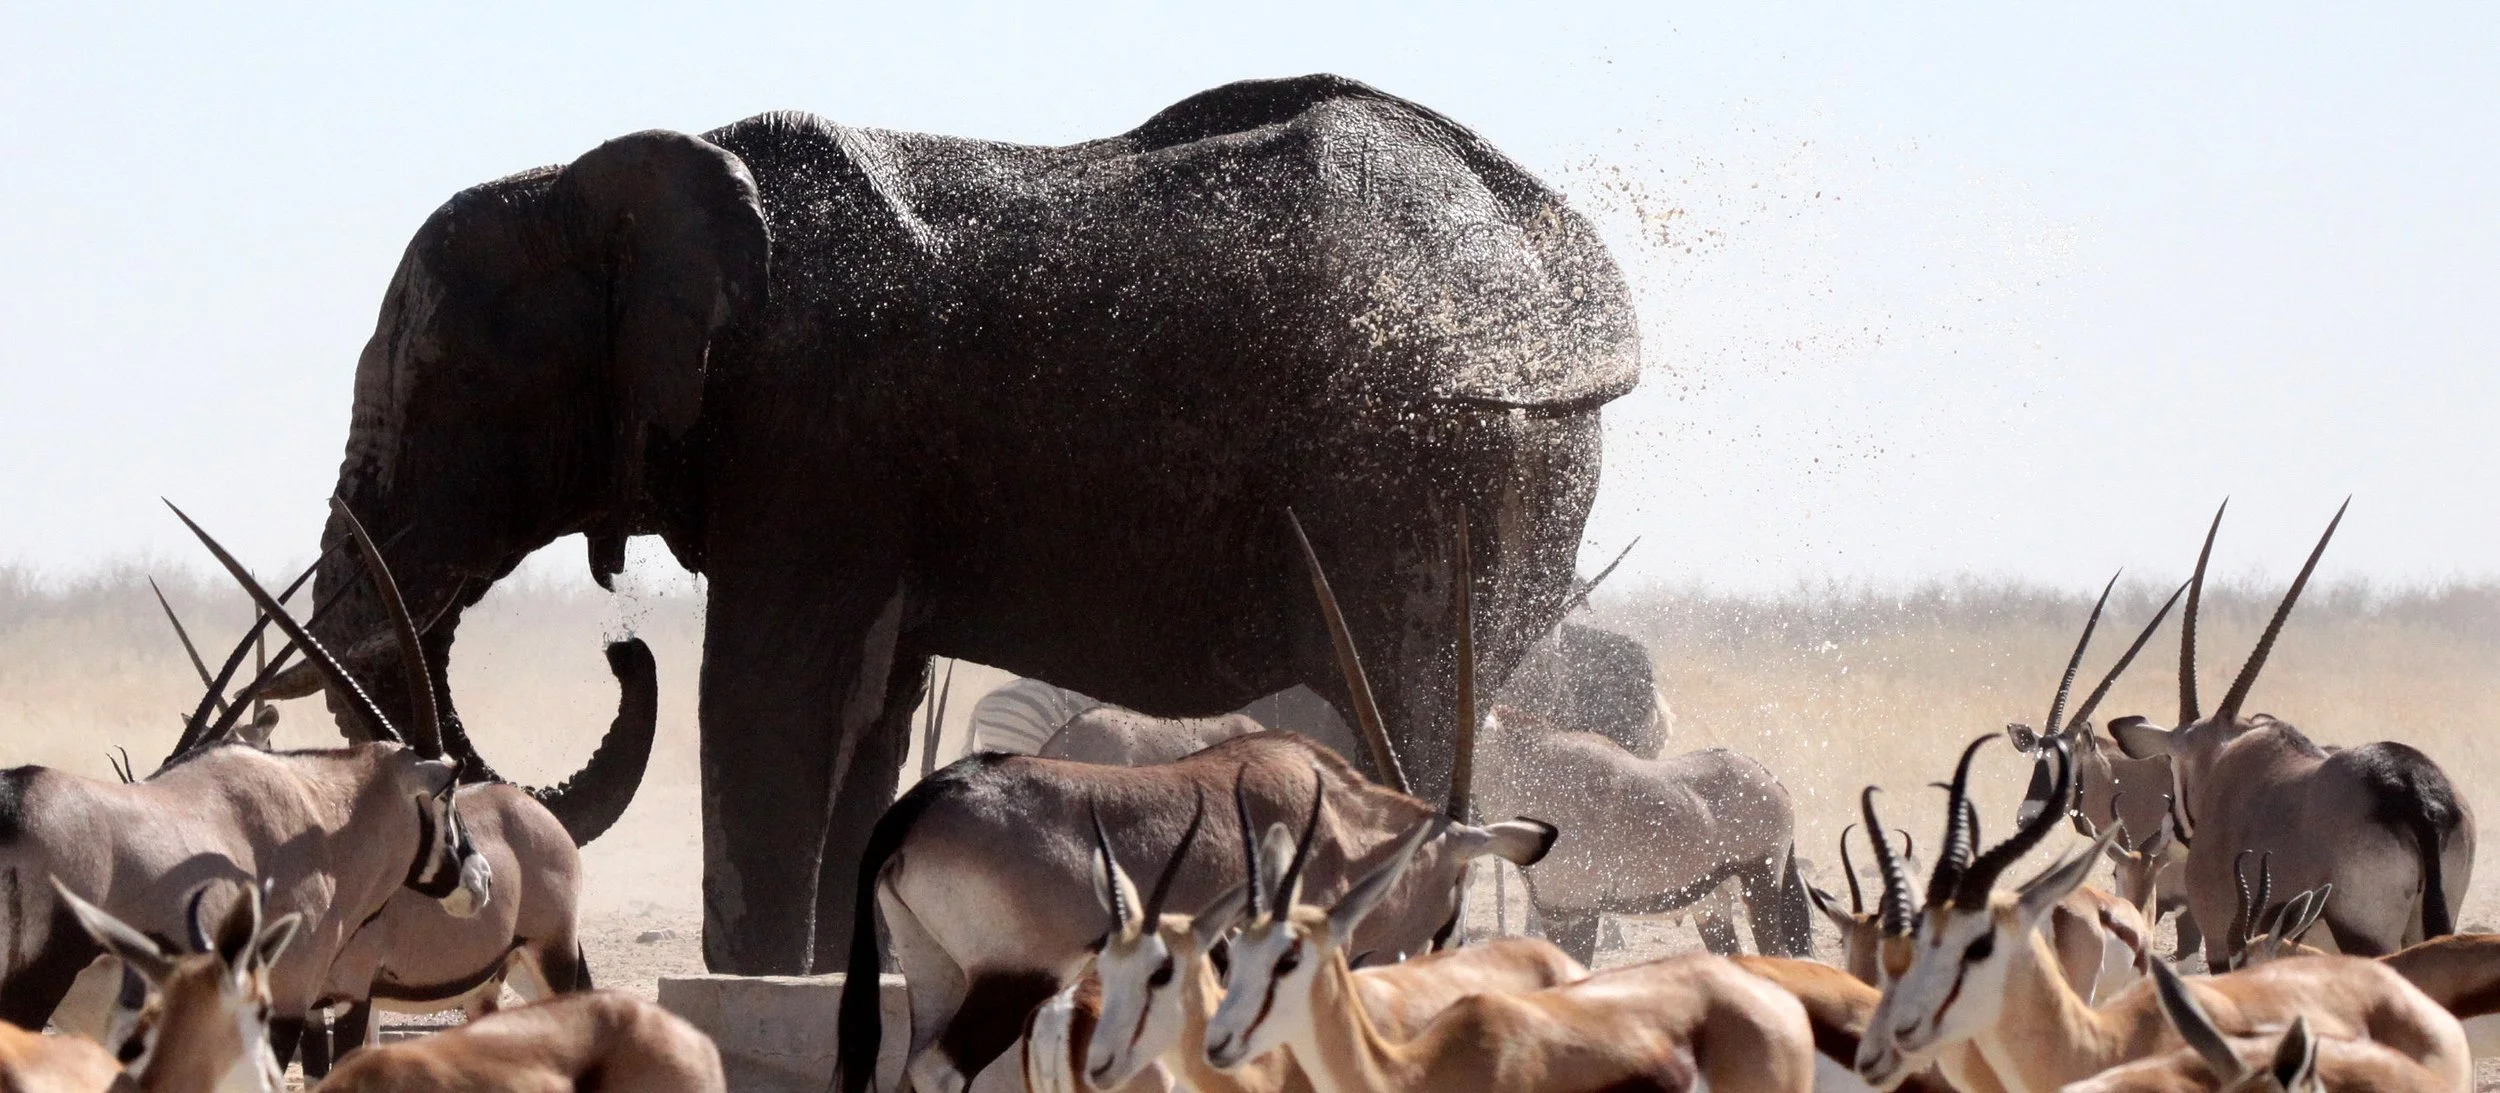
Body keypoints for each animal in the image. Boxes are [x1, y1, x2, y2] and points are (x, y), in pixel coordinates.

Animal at [281, 73, 1638, 974]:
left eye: (441, 387)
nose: (623, 649)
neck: (598, 177)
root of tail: (1552, 263)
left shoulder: (817, 429)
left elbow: (771, 692)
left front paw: (756, 978)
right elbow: (866, 708)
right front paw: (833, 978)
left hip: (1421, 472)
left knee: (1398, 699)